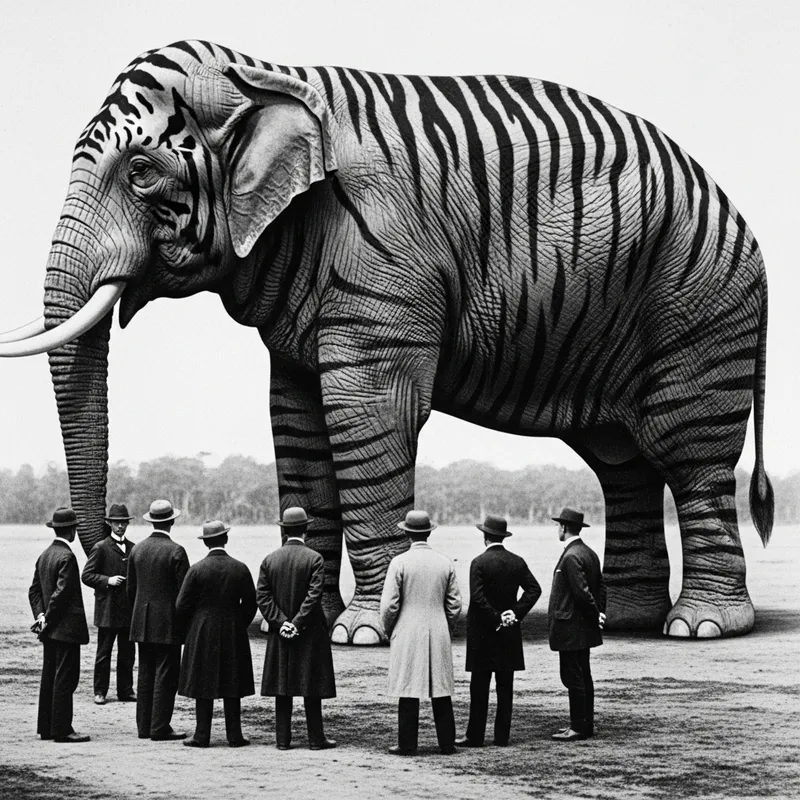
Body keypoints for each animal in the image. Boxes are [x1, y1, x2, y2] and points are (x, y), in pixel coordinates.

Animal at [0, 40, 772, 644]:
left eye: (140, 173)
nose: (109, 563)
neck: (263, 73)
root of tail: (738, 216)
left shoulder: (386, 250)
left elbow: (366, 411)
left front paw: (362, 633)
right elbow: (299, 424)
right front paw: (291, 620)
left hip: (698, 306)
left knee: (687, 453)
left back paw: (699, 625)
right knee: (622, 461)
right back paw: (632, 621)